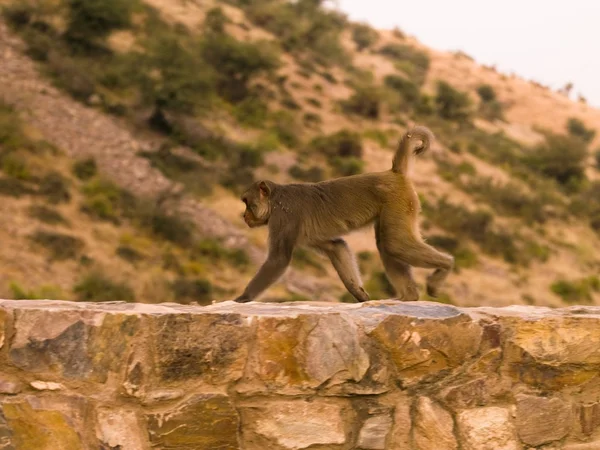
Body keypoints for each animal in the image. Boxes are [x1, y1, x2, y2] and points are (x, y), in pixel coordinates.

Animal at [234, 125, 454, 304]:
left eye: (247, 204)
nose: (244, 216)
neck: (275, 200)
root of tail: (393, 173)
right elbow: (336, 247)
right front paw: (359, 293)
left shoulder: (284, 218)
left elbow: (278, 259)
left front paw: (243, 298)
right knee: (387, 244)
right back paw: (410, 296)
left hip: (398, 202)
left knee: (394, 243)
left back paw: (446, 265)